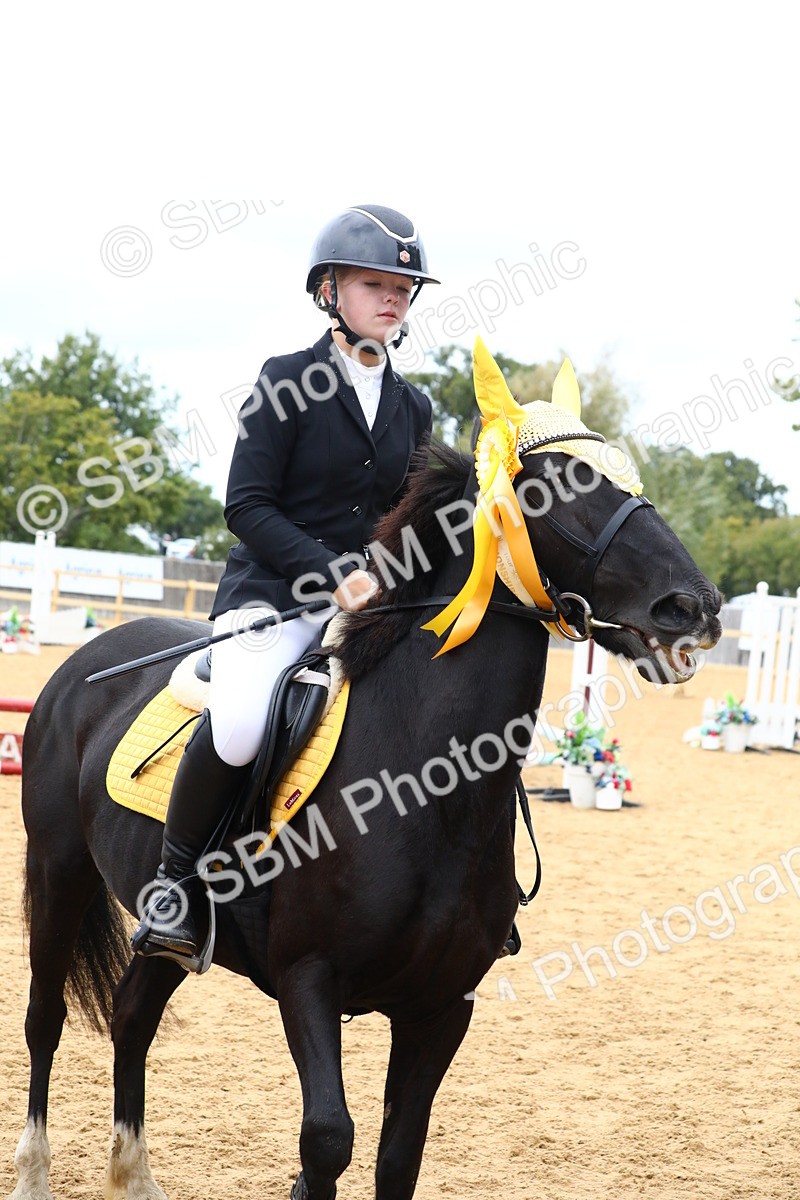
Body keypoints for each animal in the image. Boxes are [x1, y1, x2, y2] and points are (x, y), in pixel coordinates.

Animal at [10, 378, 722, 1200]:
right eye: (561, 486)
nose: (694, 608)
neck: (428, 790)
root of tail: (83, 661)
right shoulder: (308, 980)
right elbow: (327, 1140)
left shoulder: (441, 1008)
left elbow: (397, 1154)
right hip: (57, 869)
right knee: (44, 1019)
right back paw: (33, 1174)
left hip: (169, 935)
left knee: (132, 1016)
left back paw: (134, 1179)